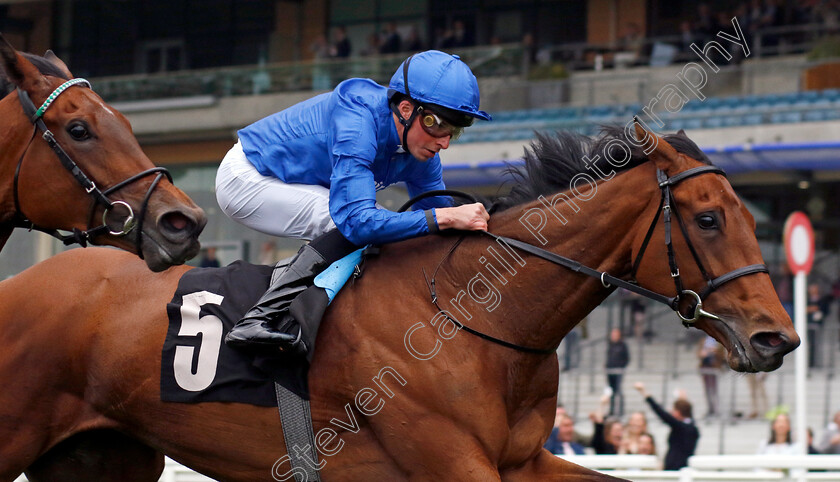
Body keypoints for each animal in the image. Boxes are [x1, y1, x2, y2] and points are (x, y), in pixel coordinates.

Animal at [0, 123, 796, 478]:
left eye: (751, 214)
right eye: (708, 219)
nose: (776, 339)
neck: (480, 316)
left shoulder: (522, 462)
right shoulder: (451, 463)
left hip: (103, 455)